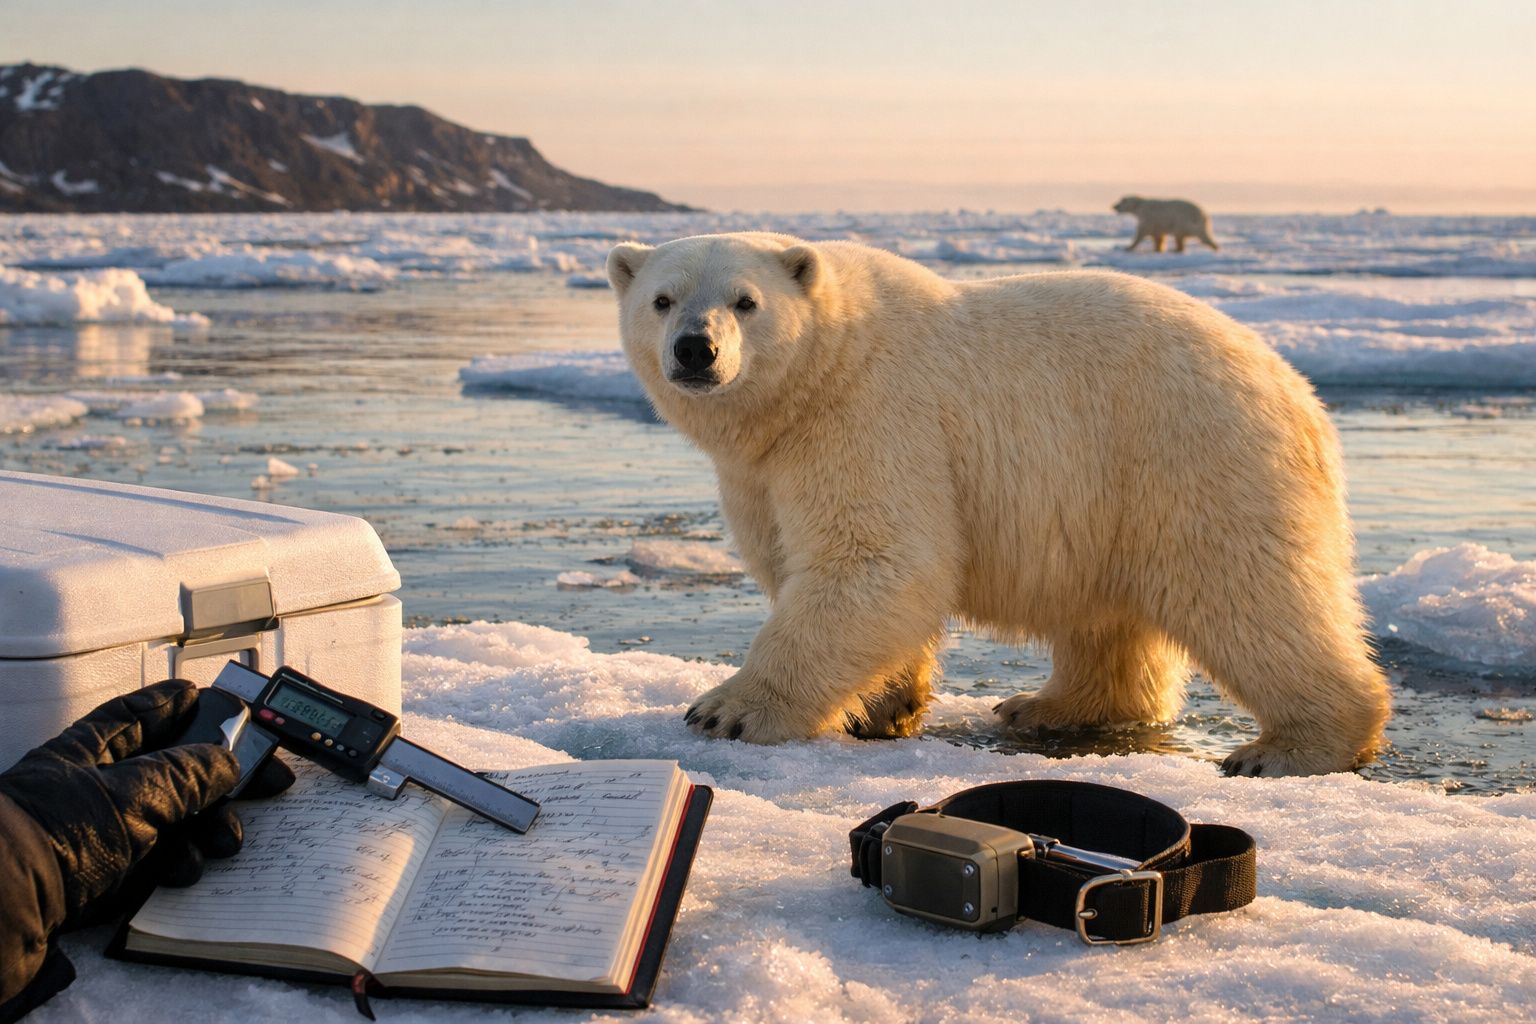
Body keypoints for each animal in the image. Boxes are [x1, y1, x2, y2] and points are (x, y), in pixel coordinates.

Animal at [606, 232, 1389, 776]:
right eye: (662, 299)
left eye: (746, 300)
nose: (695, 350)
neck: (822, 373)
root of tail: (1295, 387)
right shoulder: (761, 470)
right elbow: (817, 562)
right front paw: (886, 705)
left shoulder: (875, 419)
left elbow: (876, 560)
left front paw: (726, 710)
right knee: (1109, 617)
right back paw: (1048, 706)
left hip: (1194, 455)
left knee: (1250, 591)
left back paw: (1293, 746)